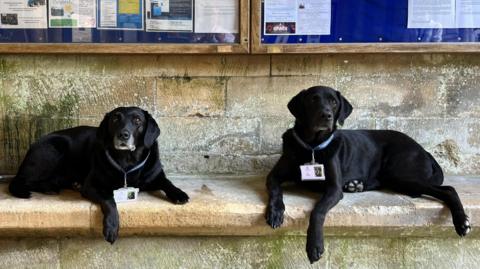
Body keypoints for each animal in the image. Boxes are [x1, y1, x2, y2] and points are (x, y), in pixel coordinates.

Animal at [8, 106, 189, 243]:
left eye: (137, 120)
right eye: (115, 119)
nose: (123, 135)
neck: (127, 162)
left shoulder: (157, 175)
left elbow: (168, 183)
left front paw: (179, 194)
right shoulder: (92, 185)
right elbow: (109, 200)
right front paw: (111, 227)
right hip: (54, 149)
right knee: (23, 181)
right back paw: (49, 187)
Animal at [264, 85, 470, 262]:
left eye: (334, 102)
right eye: (313, 99)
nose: (326, 115)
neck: (312, 146)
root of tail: (424, 150)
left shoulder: (334, 189)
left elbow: (318, 211)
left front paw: (314, 245)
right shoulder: (274, 176)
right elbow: (275, 190)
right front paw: (275, 212)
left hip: (400, 174)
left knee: (449, 189)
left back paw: (462, 223)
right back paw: (355, 185)